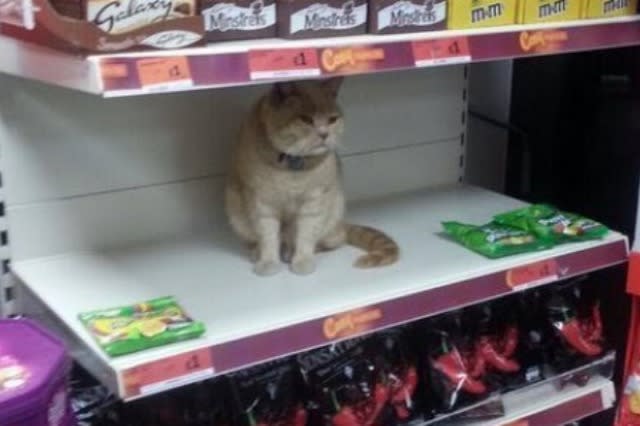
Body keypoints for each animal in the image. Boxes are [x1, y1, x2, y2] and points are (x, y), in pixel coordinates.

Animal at [222, 77, 398, 276]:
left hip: (333, 215)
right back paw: (259, 252)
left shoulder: (313, 202)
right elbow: (268, 237)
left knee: (332, 240)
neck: (293, 166)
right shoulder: (262, 202)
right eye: (306, 119)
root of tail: (342, 223)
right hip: (236, 214)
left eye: (332, 119)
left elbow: (305, 236)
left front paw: (302, 261)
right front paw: (268, 262)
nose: (324, 134)